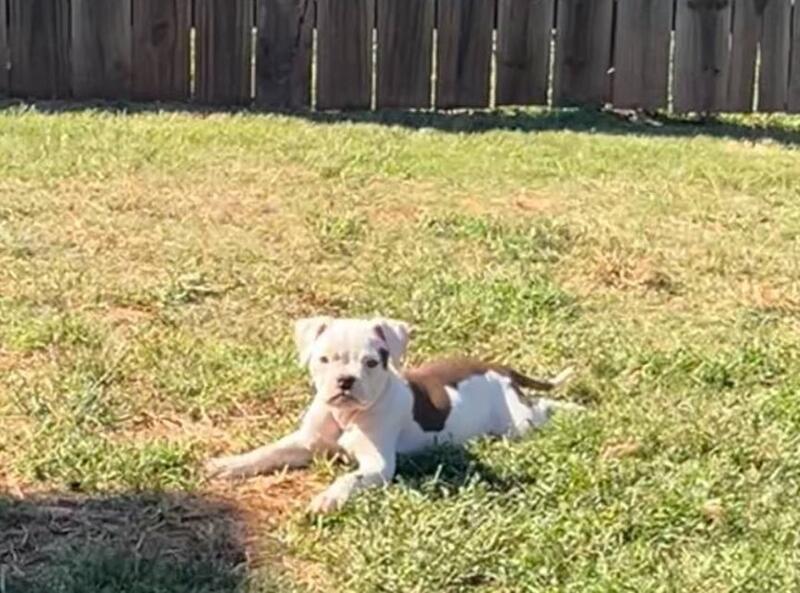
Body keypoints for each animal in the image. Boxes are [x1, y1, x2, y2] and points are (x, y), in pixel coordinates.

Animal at [206, 317, 579, 513]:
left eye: (371, 362)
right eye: (324, 359)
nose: (345, 381)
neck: (346, 416)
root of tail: (500, 368)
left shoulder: (378, 465)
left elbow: (348, 478)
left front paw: (327, 498)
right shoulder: (305, 442)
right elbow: (267, 451)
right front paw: (230, 463)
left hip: (520, 424)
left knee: (542, 406)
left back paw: (575, 409)